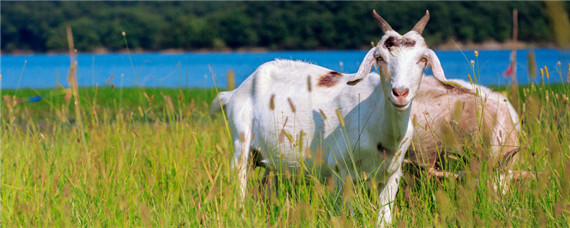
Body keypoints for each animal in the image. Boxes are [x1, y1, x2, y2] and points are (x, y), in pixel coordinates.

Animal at [211, 9, 450, 225]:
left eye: (423, 59)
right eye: (380, 58)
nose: (400, 93)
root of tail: (235, 92)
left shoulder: (392, 175)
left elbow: (385, 219)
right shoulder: (340, 171)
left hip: (273, 163)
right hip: (240, 144)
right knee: (240, 187)